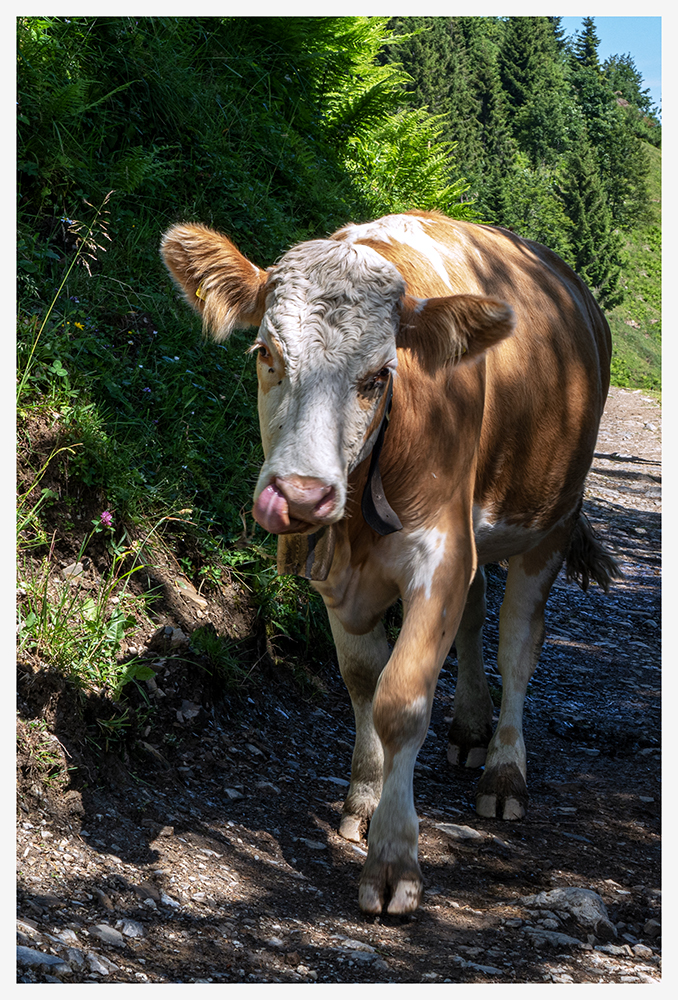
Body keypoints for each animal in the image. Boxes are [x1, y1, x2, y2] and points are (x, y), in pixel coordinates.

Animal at [163, 209, 620, 916]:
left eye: (380, 375)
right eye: (266, 354)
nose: (300, 494)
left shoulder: (442, 553)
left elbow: (401, 698)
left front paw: (393, 856)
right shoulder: (340, 574)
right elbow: (361, 681)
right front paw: (364, 798)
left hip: (551, 521)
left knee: (518, 642)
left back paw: (504, 770)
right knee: (476, 618)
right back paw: (469, 726)